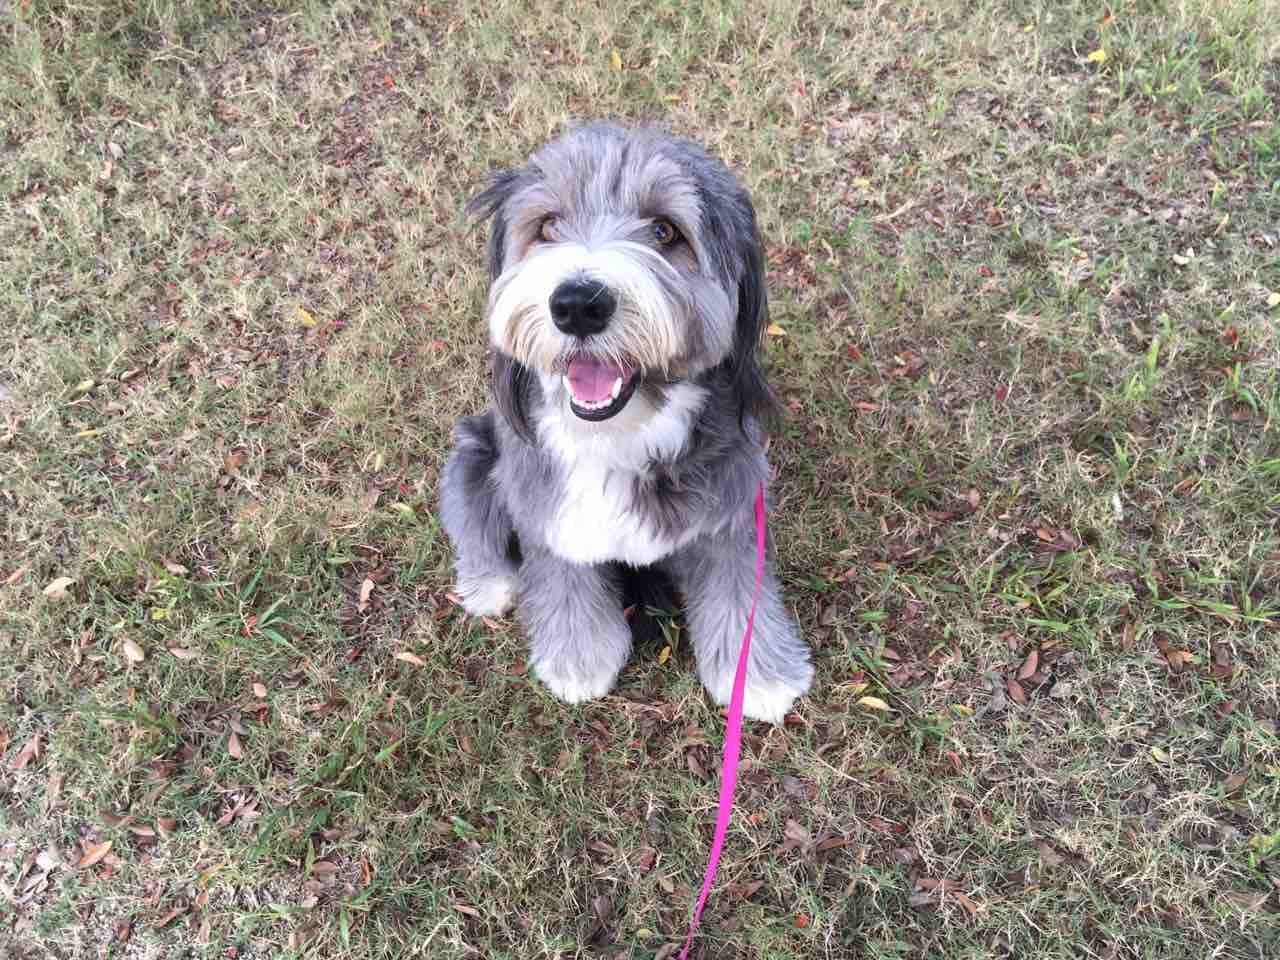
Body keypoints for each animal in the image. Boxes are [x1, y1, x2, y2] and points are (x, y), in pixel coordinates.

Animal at [440, 123, 813, 722]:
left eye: (664, 231)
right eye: (548, 226)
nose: (577, 304)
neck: (620, 435)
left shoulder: (729, 513)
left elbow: (736, 595)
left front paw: (757, 677)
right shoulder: (552, 516)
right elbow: (567, 587)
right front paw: (579, 662)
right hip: (477, 449)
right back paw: (489, 584)